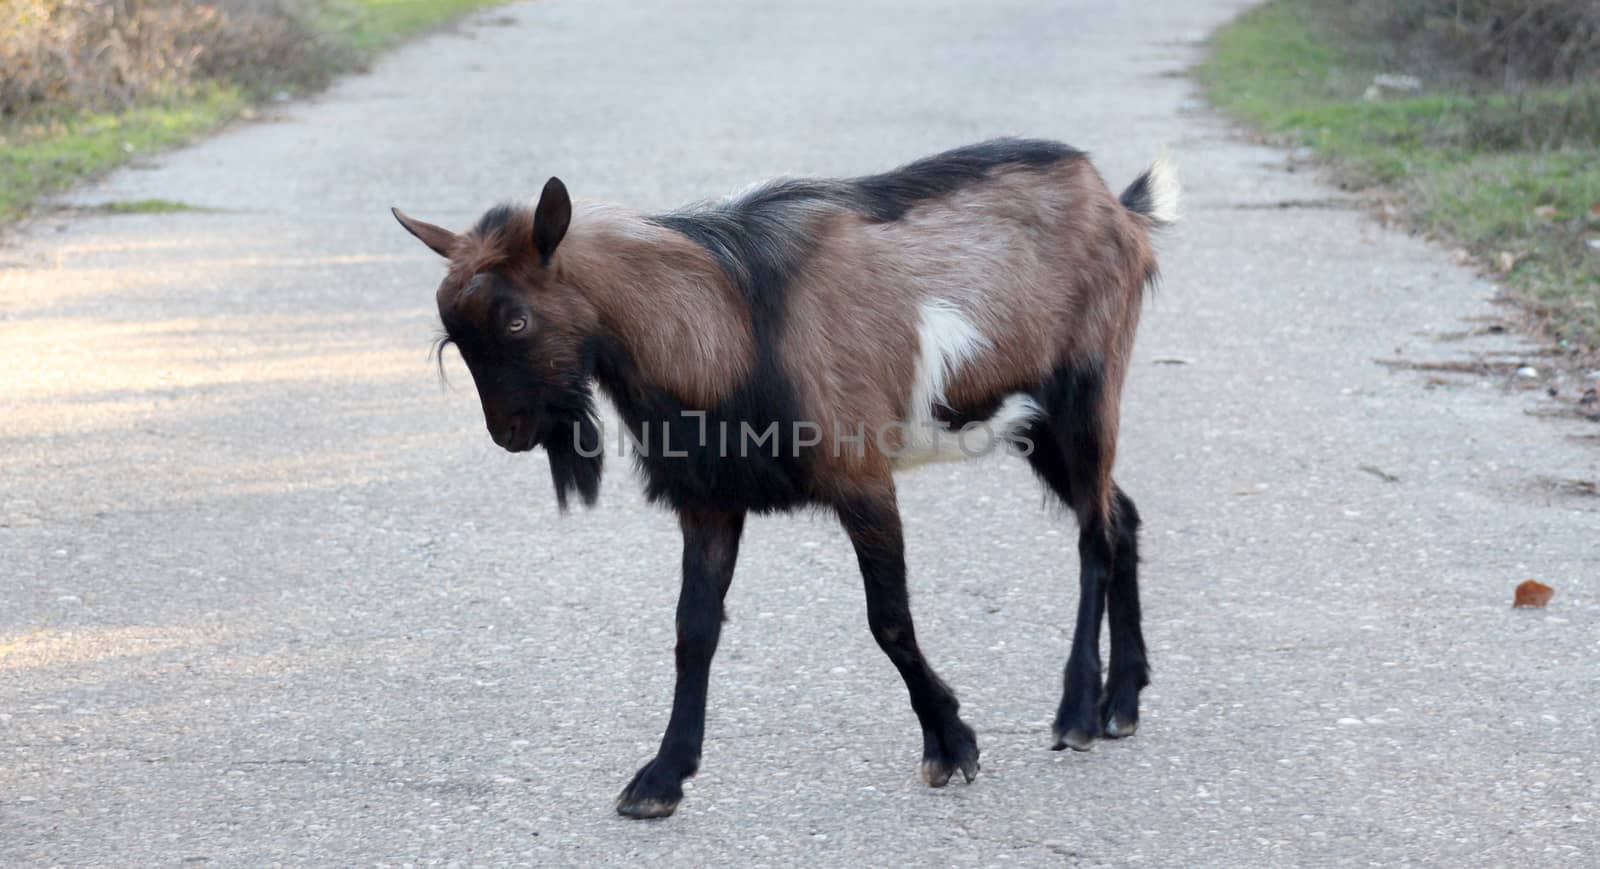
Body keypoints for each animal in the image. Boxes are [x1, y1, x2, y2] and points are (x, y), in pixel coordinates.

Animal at [395, 139, 1184, 819]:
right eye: (456, 336)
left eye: (516, 321)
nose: (511, 433)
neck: (732, 328)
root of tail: (1120, 208)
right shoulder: (710, 497)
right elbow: (693, 629)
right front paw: (661, 778)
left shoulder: (861, 476)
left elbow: (888, 619)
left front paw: (951, 743)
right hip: (1037, 428)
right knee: (1121, 514)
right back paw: (1122, 702)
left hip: (1084, 396)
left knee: (1094, 536)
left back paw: (1077, 712)